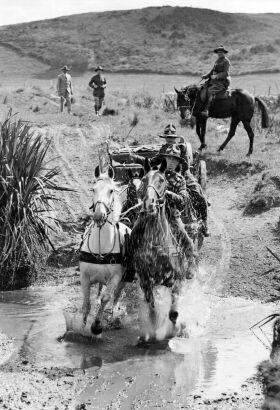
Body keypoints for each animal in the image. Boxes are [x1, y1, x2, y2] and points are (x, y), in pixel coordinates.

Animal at [79, 165, 131, 334]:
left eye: (111, 190)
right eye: (93, 189)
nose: (98, 216)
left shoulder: (116, 277)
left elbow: (106, 298)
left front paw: (96, 325)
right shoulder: (84, 277)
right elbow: (86, 304)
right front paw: (81, 328)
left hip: (124, 280)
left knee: (115, 297)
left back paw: (114, 317)